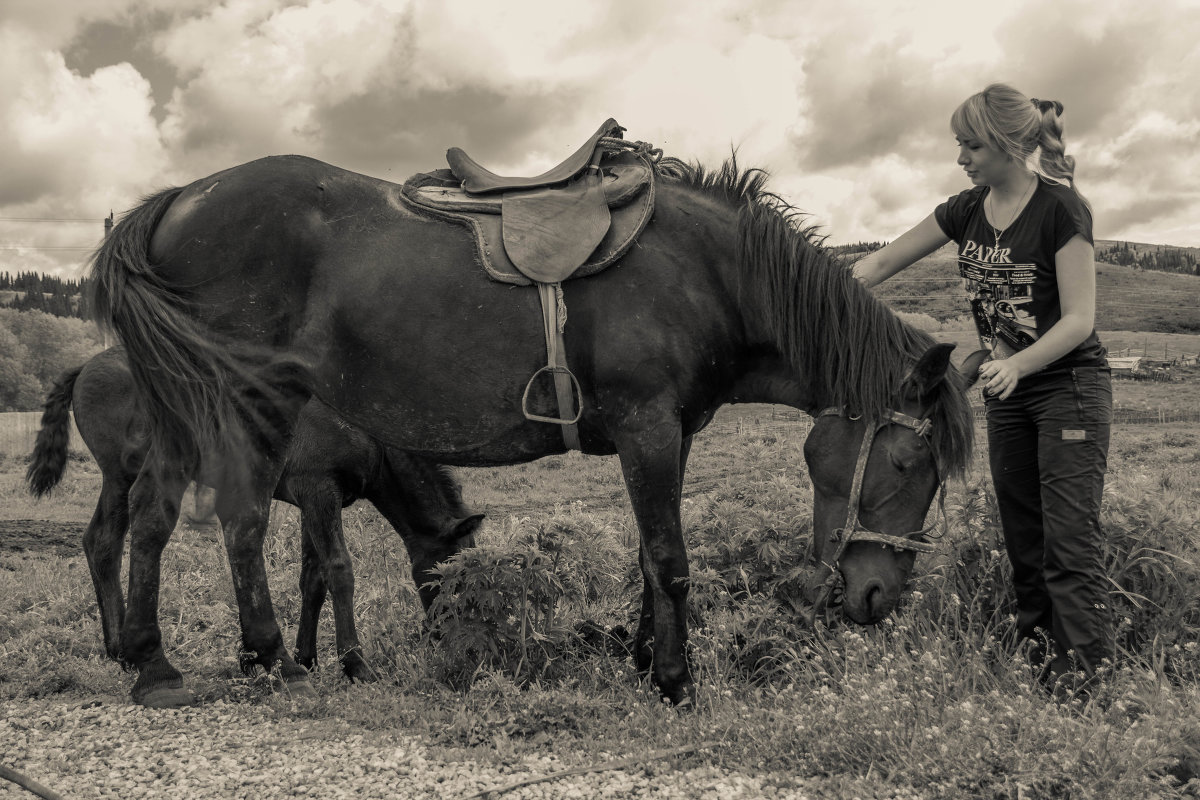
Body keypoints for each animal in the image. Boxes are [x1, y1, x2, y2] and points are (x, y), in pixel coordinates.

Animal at [24, 347, 482, 695]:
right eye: (453, 579)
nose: (460, 646)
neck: (364, 432)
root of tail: (85, 366)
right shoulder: (320, 492)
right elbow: (339, 571)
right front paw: (355, 665)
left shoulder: (311, 500)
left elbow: (312, 579)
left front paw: (304, 658)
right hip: (123, 474)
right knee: (109, 540)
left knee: (99, 542)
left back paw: (118, 650)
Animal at [88, 153, 979, 705]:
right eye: (909, 463)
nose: (878, 597)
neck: (708, 274)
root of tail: (176, 201)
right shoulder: (648, 429)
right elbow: (671, 561)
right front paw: (676, 681)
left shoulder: (669, 435)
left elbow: (646, 559)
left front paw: (643, 661)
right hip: (250, 398)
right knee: (235, 520)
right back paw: (270, 657)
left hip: (190, 410)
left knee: (154, 519)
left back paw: (156, 662)